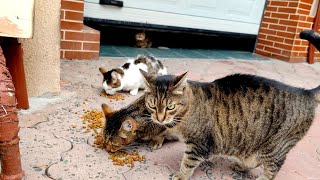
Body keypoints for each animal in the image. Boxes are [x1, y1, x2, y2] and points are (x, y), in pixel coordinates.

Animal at [140, 70, 320, 180]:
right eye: (152, 106)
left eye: (170, 107)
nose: (160, 118)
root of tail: (306, 93)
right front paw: (158, 138)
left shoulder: (198, 144)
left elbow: (187, 162)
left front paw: (181, 175)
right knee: (256, 160)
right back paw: (241, 166)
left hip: (275, 146)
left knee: (273, 168)